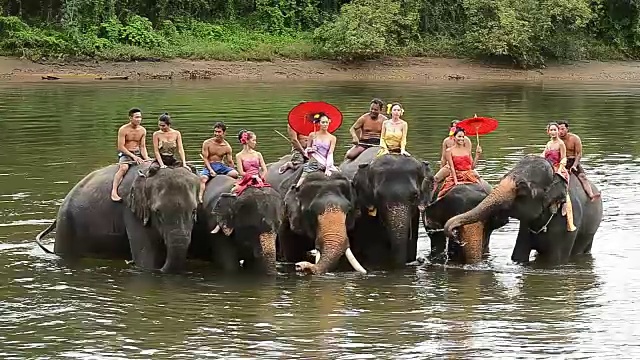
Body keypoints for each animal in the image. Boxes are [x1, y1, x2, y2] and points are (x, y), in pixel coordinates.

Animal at [35, 162, 200, 272]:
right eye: (157, 212)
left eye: (194, 211)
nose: (129, 262)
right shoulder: (130, 210)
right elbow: (147, 259)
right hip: (66, 225)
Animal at [442, 155, 604, 264]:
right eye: (504, 176)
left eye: (522, 189)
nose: (453, 232)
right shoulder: (525, 227)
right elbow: (518, 256)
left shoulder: (567, 223)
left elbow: (553, 260)